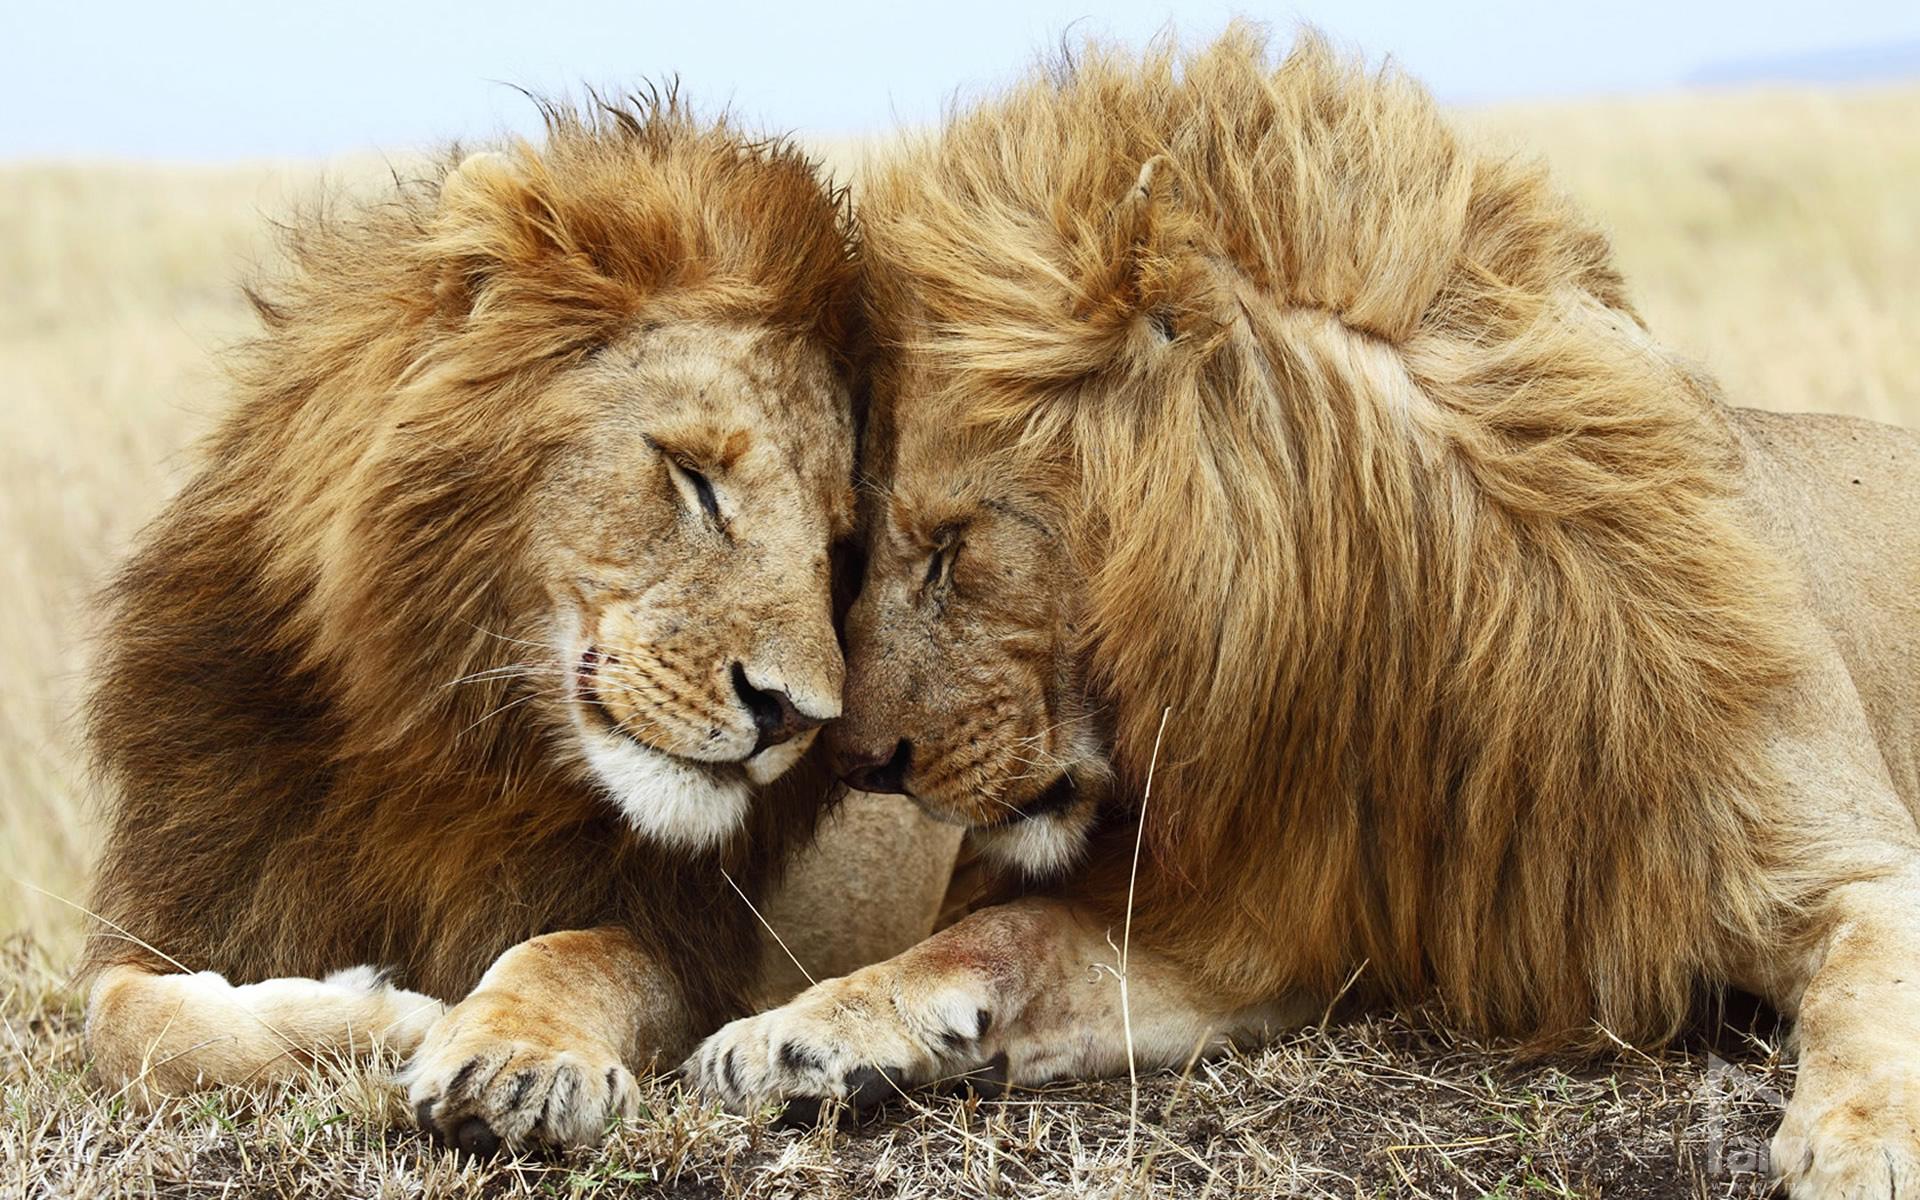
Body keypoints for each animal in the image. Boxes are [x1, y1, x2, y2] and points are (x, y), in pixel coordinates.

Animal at [80, 97, 958, 1154]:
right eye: (694, 478)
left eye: (837, 547)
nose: (794, 714)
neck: (447, 743)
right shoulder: (188, 898)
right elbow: (123, 1020)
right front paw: (380, 1016)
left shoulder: (689, 943)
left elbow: (574, 953)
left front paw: (513, 1057)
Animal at [687, 31, 1920, 1198]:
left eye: (949, 546)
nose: (857, 763)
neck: (1397, 639)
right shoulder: (1258, 922)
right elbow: (1005, 933)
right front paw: (792, 1035)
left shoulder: (1849, 858)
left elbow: (1877, 989)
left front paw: (1867, 1149)